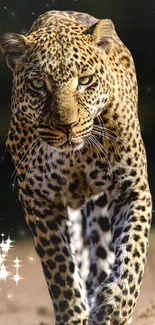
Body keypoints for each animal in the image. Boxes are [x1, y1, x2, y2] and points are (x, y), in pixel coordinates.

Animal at [0, 10, 152, 324]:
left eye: (84, 80)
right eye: (39, 85)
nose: (66, 126)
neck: (75, 157)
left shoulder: (132, 189)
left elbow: (133, 253)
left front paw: (115, 307)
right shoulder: (39, 200)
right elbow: (60, 269)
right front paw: (73, 315)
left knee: (104, 256)